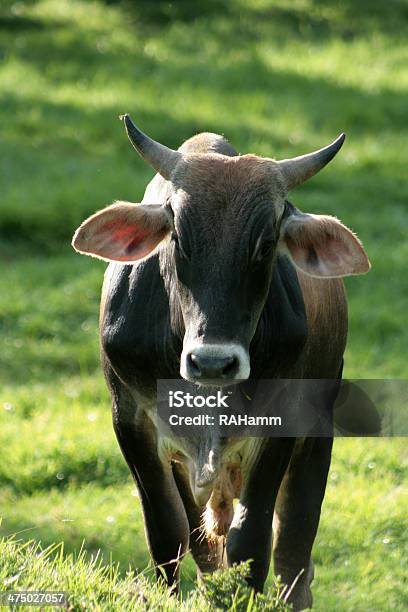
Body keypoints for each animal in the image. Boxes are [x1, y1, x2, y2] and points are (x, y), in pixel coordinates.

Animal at [72, 116, 370, 612]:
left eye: (266, 244)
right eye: (178, 236)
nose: (213, 362)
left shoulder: (280, 424)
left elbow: (252, 542)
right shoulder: (131, 422)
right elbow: (168, 535)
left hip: (316, 435)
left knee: (294, 548)